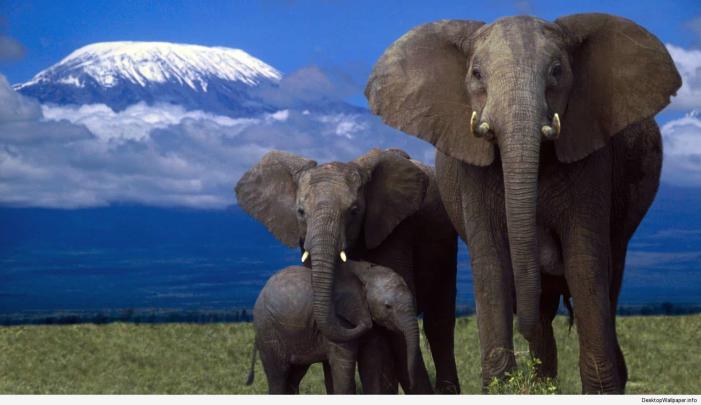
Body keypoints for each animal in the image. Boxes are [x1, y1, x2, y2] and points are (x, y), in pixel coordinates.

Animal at [246, 260, 421, 394]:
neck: (366, 273)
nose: (412, 384)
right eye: (388, 306)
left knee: (294, 375)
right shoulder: (340, 319)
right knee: (278, 375)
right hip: (268, 331)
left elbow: (372, 361)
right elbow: (343, 364)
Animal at [365, 13, 681, 393]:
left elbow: (584, 261)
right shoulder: (472, 172)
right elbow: (491, 263)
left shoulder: (591, 157)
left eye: (557, 71)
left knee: (608, 280)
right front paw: (503, 385)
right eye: (476, 74)